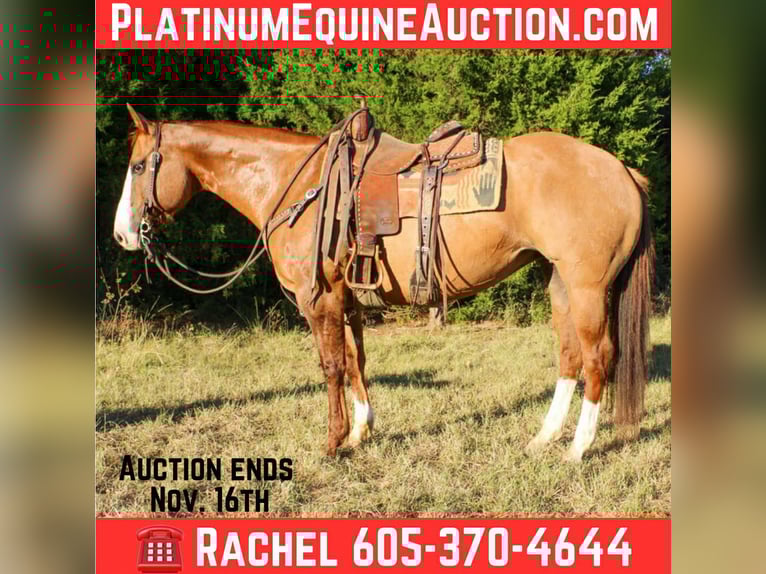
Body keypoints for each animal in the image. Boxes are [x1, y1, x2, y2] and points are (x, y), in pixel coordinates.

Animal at [113, 103, 654, 462]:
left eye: (139, 165)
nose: (122, 235)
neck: (295, 184)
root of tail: (622, 169)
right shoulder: (347, 300)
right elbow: (356, 363)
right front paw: (360, 432)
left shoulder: (320, 300)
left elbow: (331, 366)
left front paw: (332, 442)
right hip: (557, 281)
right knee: (569, 356)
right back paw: (544, 437)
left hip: (587, 288)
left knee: (598, 358)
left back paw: (578, 449)